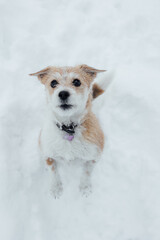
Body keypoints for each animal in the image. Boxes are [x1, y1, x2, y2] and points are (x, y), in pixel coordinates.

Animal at [29, 64, 109, 198]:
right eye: (53, 83)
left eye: (77, 82)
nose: (63, 94)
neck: (69, 128)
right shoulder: (48, 154)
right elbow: (53, 172)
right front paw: (56, 188)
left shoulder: (94, 156)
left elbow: (87, 172)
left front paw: (85, 188)